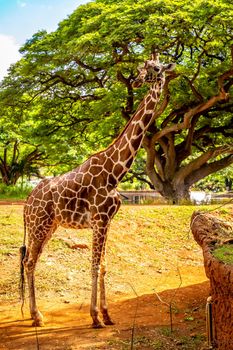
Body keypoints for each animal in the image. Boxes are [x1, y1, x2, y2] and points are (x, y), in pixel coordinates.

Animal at [20, 52, 176, 328]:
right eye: (142, 67)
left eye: (156, 68)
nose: (136, 81)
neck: (115, 171)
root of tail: (27, 203)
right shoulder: (99, 220)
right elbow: (93, 265)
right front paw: (94, 317)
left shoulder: (107, 222)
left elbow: (103, 266)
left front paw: (107, 314)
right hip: (39, 226)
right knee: (29, 262)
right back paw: (37, 316)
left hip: (49, 226)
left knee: (30, 262)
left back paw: (34, 314)